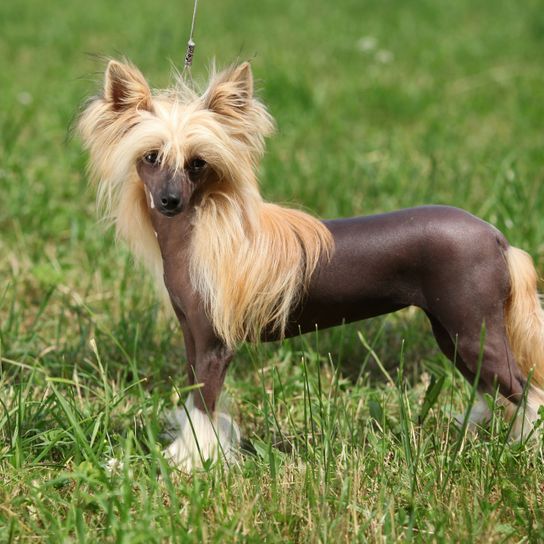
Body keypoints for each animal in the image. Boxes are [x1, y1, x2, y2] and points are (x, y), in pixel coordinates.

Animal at [77, 58, 544, 468]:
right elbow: (194, 400)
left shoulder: (215, 346)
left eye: (198, 163)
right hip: (453, 332)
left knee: (525, 390)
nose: (170, 201)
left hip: (472, 329)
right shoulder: (193, 337)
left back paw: (520, 449)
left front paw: (191, 463)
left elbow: (204, 411)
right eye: (151, 157)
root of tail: (498, 238)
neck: (198, 234)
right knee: (494, 387)